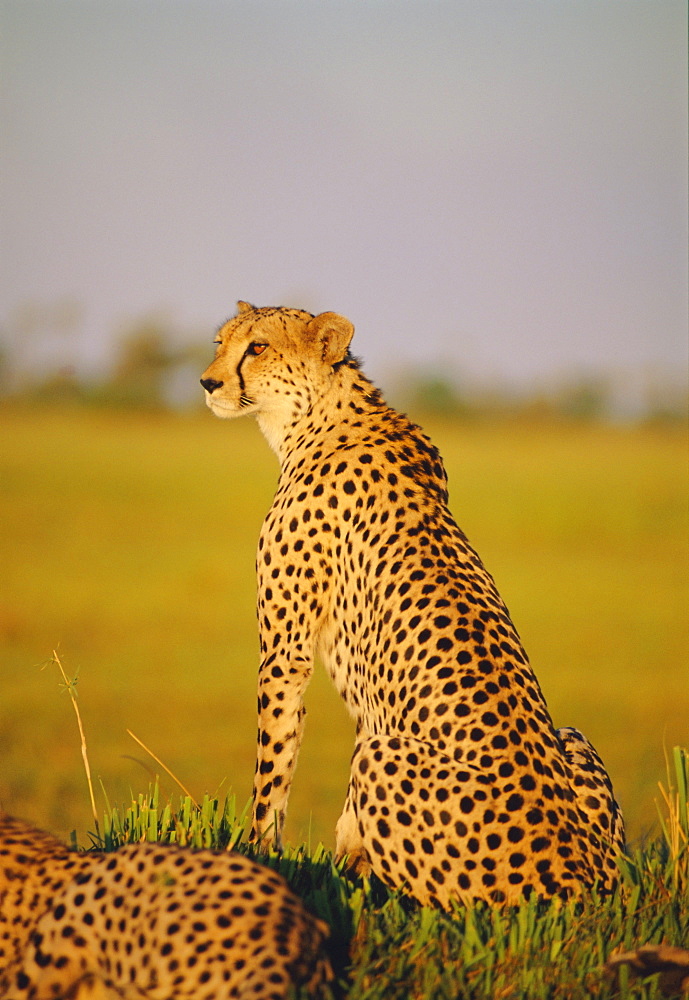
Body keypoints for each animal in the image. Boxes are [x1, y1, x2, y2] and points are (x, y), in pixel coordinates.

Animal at [202, 300, 628, 912]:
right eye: (220, 343)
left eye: (257, 347)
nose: (208, 382)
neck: (318, 417)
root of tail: (587, 880)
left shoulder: (285, 654)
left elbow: (273, 762)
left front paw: (261, 855)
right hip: (568, 736)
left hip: (387, 758)